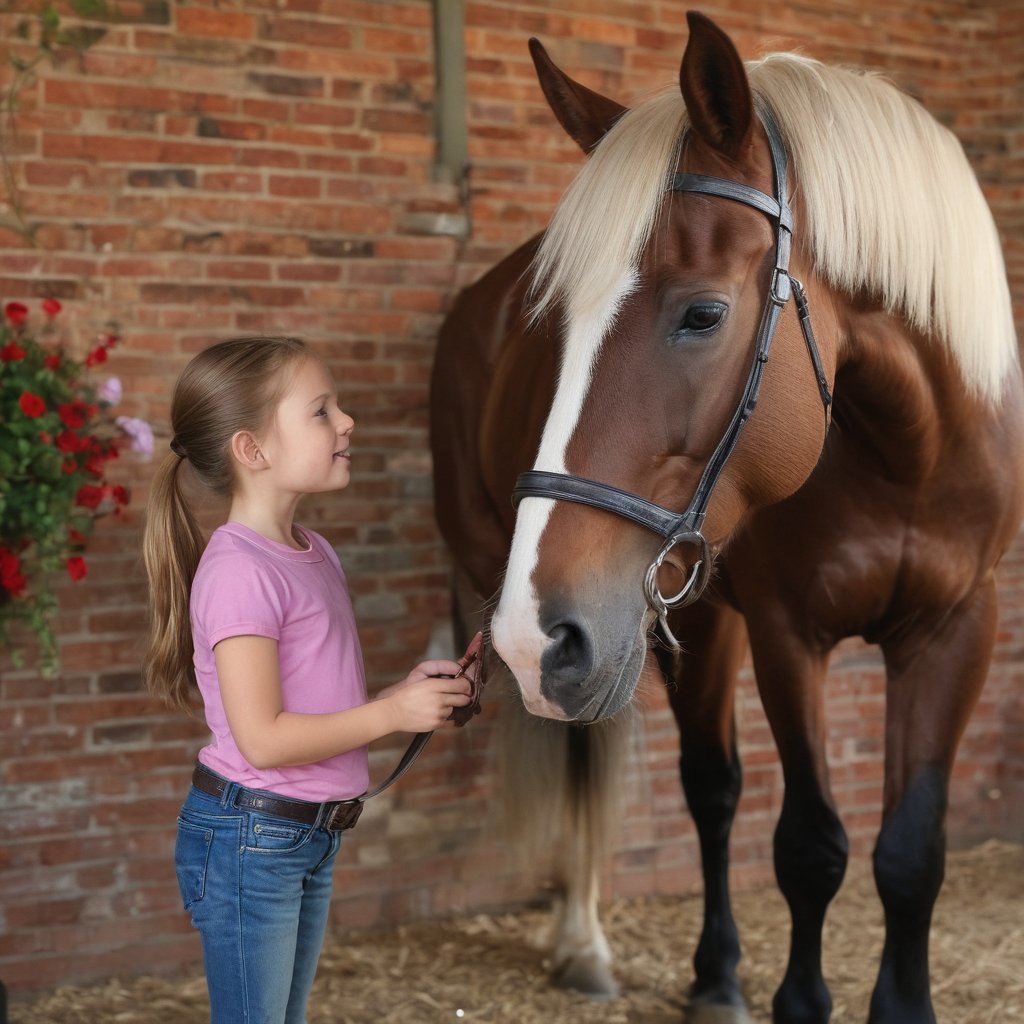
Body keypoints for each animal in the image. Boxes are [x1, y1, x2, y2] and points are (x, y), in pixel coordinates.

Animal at [432, 9, 1024, 1024]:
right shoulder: (791, 634)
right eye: (554, 328)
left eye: (702, 314)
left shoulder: (958, 628)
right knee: (673, 776)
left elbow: (912, 851)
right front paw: (795, 997)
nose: (531, 629)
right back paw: (608, 947)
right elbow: (810, 844)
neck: (905, 455)